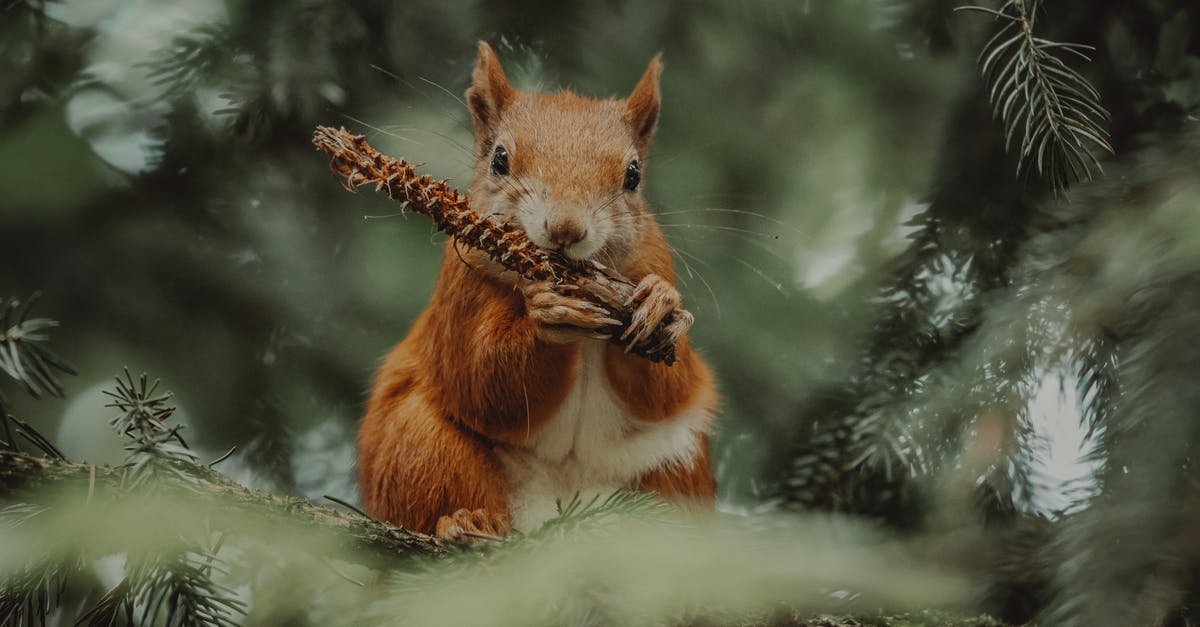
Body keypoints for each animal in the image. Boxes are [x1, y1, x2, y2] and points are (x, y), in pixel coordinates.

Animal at [357, 42, 718, 539]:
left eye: (633, 175)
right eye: (499, 160)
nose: (565, 228)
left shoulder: (654, 260)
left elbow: (666, 388)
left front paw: (660, 306)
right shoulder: (461, 291)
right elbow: (485, 377)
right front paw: (548, 317)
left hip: (676, 469)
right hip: (419, 445)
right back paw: (467, 522)